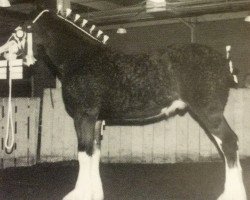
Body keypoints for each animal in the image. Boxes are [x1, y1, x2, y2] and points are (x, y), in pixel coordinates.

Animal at [5, 7, 246, 200]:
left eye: (22, 28)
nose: (4, 52)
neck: (81, 59)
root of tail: (222, 62)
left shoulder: (84, 116)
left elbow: (83, 153)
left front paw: (79, 194)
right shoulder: (96, 120)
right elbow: (94, 153)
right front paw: (94, 194)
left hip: (209, 113)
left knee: (228, 143)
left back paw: (231, 195)